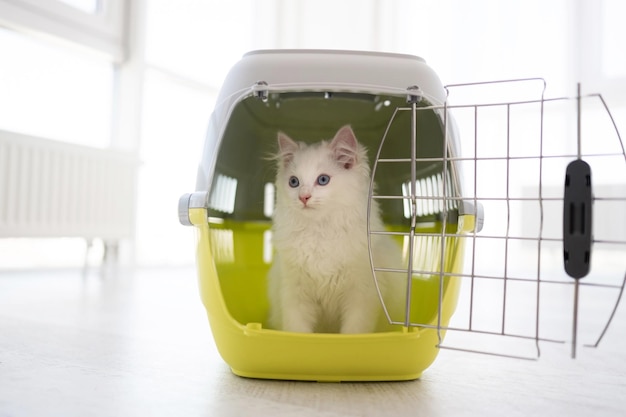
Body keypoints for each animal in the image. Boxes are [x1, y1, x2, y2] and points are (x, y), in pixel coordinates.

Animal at [266, 125, 402, 334]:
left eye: (323, 180)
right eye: (294, 182)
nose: (303, 197)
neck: (320, 231)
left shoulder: (361, 295)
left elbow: (353, 331)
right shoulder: (294, 293)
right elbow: (298, 330)